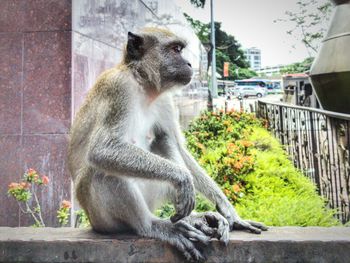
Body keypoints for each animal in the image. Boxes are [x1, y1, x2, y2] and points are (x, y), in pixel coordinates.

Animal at [67, 27, 266, 262]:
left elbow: (178, 145)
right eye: (176, 49)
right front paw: (183, 178)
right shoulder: (118, 88)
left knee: (164, 139)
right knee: (102, 172)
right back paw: (152, 225)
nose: (189, 64)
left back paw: (192, 218)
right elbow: (103, 149)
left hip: (153, 193)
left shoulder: (164, 100)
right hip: (101, 219)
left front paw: (227, 209)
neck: (143, 84)